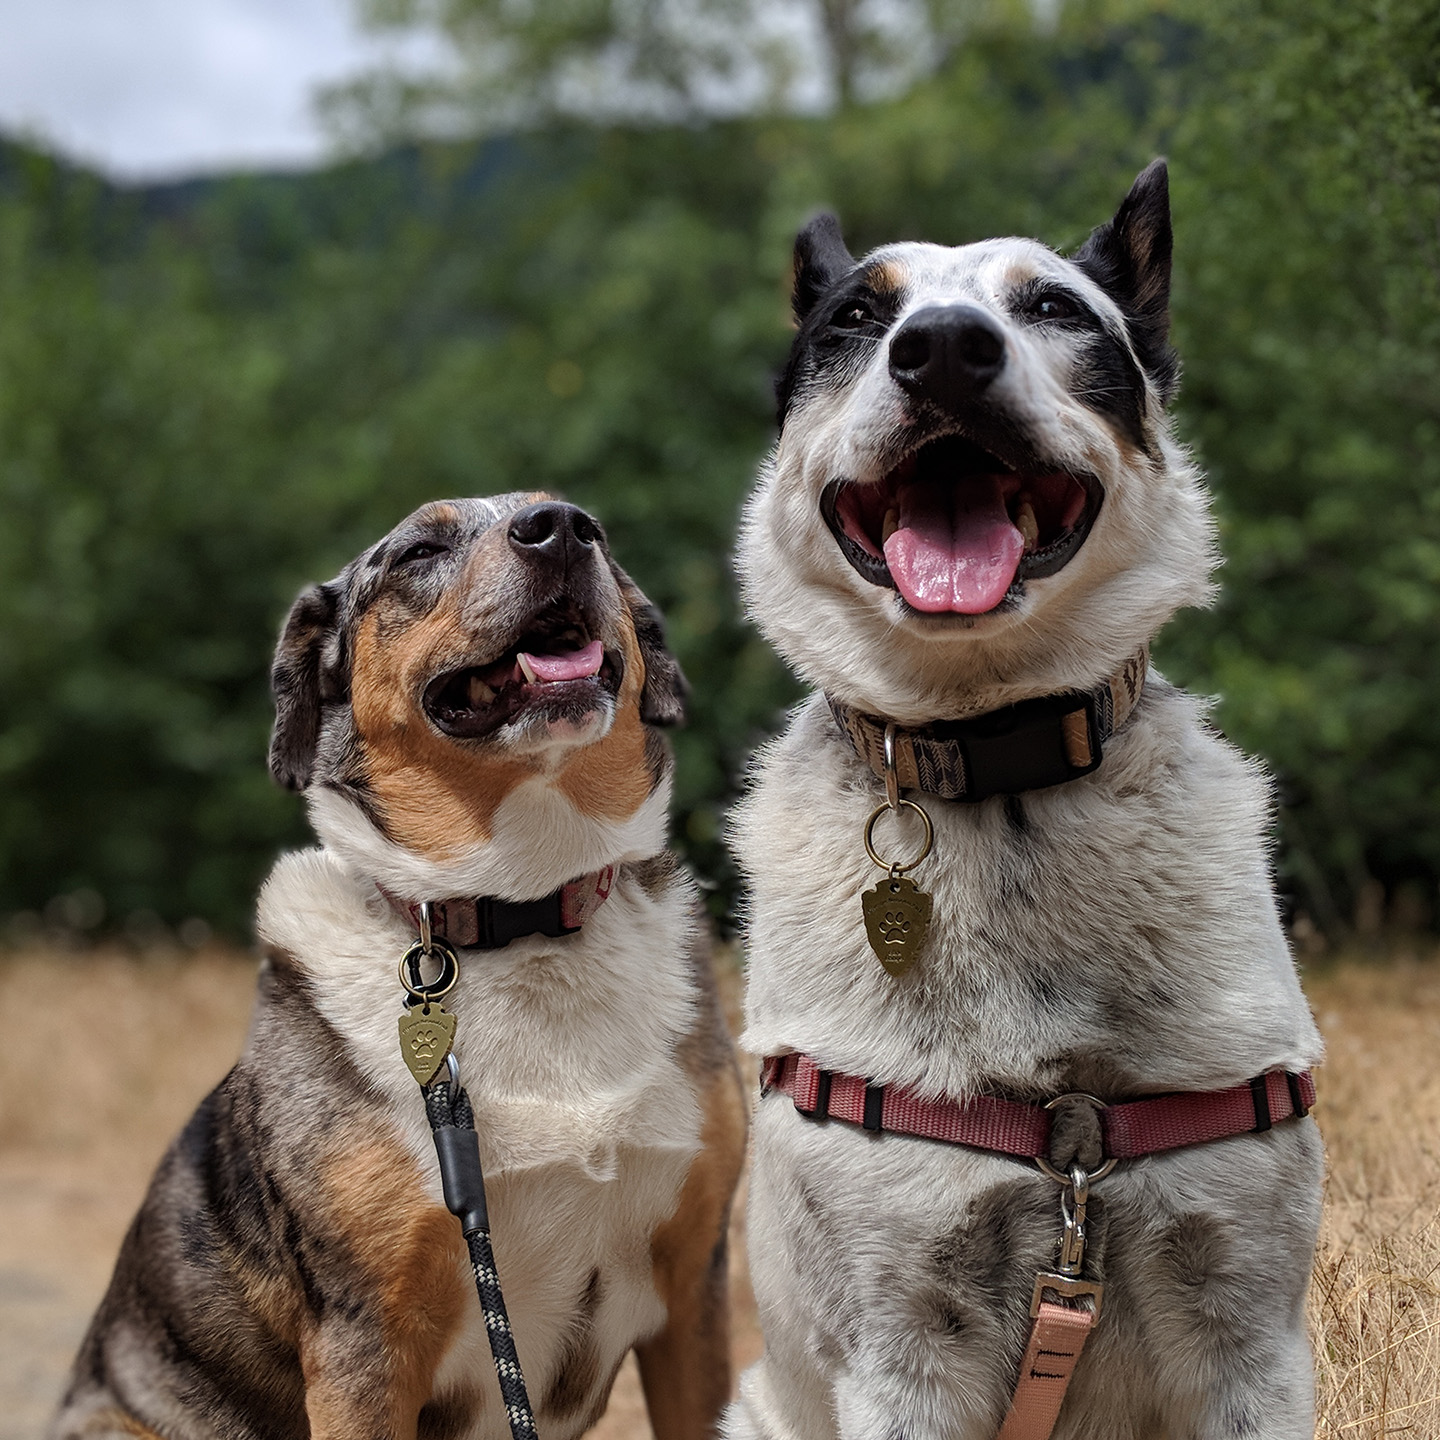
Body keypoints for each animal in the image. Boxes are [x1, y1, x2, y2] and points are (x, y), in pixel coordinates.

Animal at [50, 492, 748, 1440]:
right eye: (419, 550)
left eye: (596, 532)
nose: (560, 526)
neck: (522, 911)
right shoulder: (366, 1344)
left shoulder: (692, 1297)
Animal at [731, 160, 1324, 1440]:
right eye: (855, 318)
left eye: (1053, 308)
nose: (946, 349)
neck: (995, 763)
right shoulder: (902, 1346)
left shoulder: (1248, 1335)